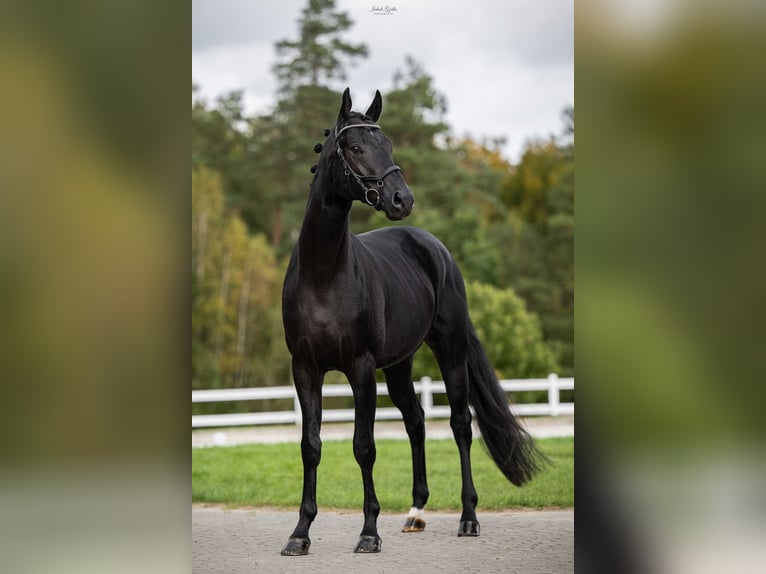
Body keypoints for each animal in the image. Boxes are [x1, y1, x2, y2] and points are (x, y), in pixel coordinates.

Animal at [284, 90, 544, 560]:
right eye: (355, 146)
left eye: (388, 144)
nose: (401, 199)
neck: (323, 274)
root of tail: (432, 246)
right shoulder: (305, 368)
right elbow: (310, 446)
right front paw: (300, 533)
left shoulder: (360, 367)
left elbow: (364, 446)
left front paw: (369, 532)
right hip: (399, 366)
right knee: (416, 421)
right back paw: (415, 512)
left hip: (450, 351)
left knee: (459, 424)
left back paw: (468, 518)